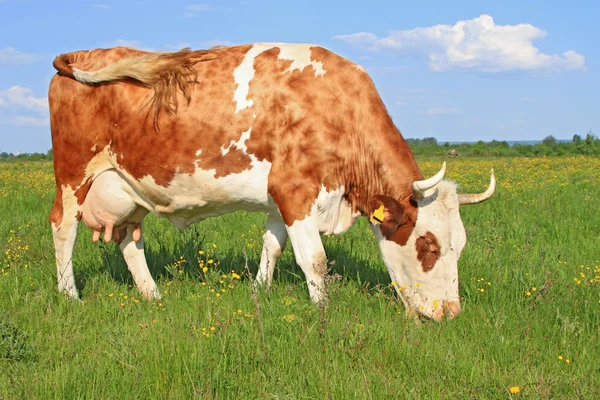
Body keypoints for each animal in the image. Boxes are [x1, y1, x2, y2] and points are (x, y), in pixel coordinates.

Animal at [49, 42, 494, 320]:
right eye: (428, 245)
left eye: (460, 246)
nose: (450, 314)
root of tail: (87, 52)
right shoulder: (295, 191)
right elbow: (314, 258)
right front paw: (323, 313)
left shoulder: (281, 197)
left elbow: (272, 246)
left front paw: (258, 293)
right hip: (74, 174)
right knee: (63, 226)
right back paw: (70, 296)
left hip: (127, 185)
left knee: (128, 237)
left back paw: (152, 294)